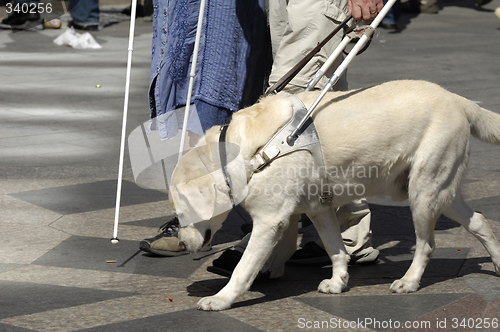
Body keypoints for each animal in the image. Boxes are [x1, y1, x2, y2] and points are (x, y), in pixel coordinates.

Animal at [173, 80, 500, 312]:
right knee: (480, 220)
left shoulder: (269, 221)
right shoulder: (319, 209)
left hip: (423, 192)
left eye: (183, 210)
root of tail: (458, 99)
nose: (181, 244)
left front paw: (222, 299)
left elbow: (243, 269)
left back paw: (409, 281)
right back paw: (498, 263)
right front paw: (339, 281)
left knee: (426, 245)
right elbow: (336, 249)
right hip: (442, 191)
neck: (254, 152)